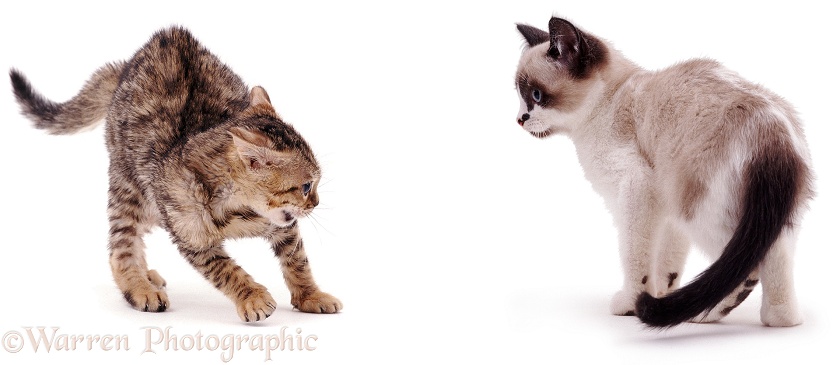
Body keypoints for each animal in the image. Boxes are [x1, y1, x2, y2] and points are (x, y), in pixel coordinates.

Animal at [9, 26, 342, 322]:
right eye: (306, 186)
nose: (315, 203)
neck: (238, 209)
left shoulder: (284, 226)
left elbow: (297, 261)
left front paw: (311, 296)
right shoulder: (193, 238)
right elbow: (226, 270)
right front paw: (252, 297)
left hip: (154, 207)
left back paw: (146, 275)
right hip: (130, 189)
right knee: (121, 245)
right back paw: (139, 285)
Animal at [512, 17, 812, 328]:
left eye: (536, 95)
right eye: (519, 96)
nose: (519, 119)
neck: (607, 103)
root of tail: (771, 130)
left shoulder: (636, 190)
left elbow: (636, 255)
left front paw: (633, 303)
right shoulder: (667, 213)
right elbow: (668, 264)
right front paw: (662, 295)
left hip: (699, 211)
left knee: (744, 267)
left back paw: (701, 315)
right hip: (772, 218)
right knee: (776, 266)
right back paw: (773, 319)